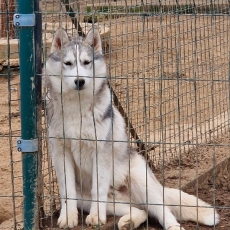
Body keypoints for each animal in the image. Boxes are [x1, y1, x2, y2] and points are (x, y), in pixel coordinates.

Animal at [42, 27, 219, 229]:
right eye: (68, 63)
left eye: (86, 62)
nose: (80, 81)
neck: (76, 109)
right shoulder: (61, 153)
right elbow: (67, 191)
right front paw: (68, 216)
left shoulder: (100, 153)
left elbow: (98, 190)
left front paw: (96, 217)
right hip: (96, 200)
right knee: (142, 211)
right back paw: (129, 221)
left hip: (141, 181)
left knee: (162, 210)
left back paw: (172, 226)